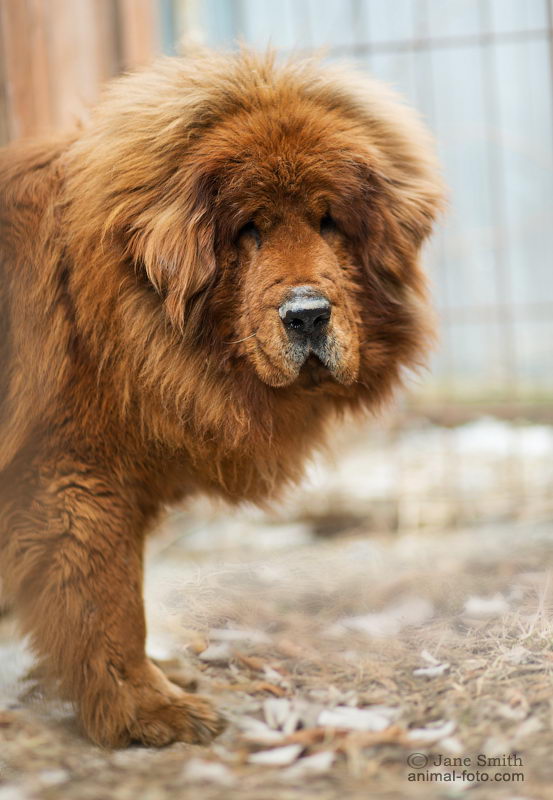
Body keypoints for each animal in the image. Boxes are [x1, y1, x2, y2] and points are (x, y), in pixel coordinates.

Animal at [0, 50, 443, 747]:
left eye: (329, 222)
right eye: (249, 230)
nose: (307, 315)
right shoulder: (74, 483)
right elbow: (110, 605)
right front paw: (146, 711)